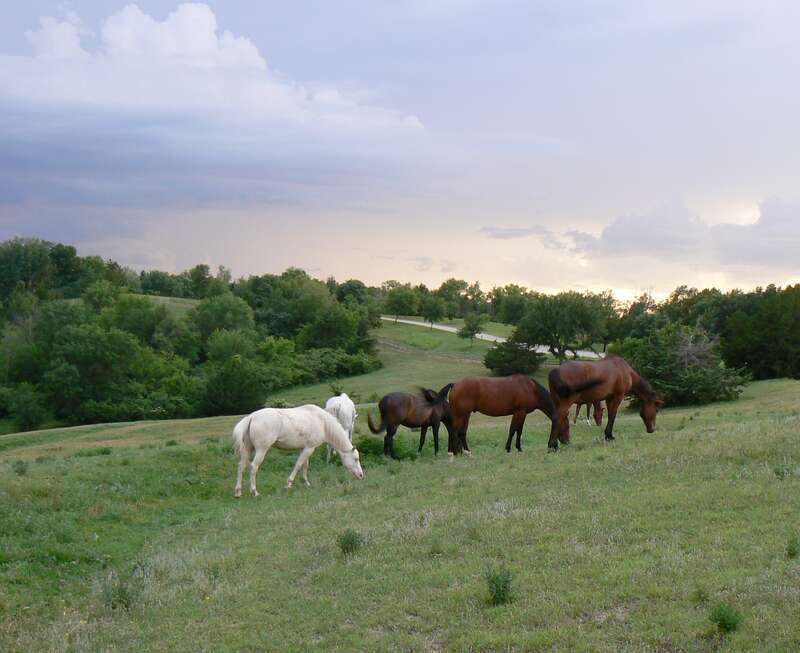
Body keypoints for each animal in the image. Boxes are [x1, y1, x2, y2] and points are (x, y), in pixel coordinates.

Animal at [232, 404, 364, 497]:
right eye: (356, 459)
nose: (361, 475)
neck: (322, 422)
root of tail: (251, 417)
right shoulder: (310, 448)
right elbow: (299, 465)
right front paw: (289, 484)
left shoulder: (305, 448)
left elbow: (305, 465)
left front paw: (306, 483)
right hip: (261, 450)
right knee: (254, 467)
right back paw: (254, 492)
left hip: (247, 449)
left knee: (241, 466)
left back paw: (238, 492)